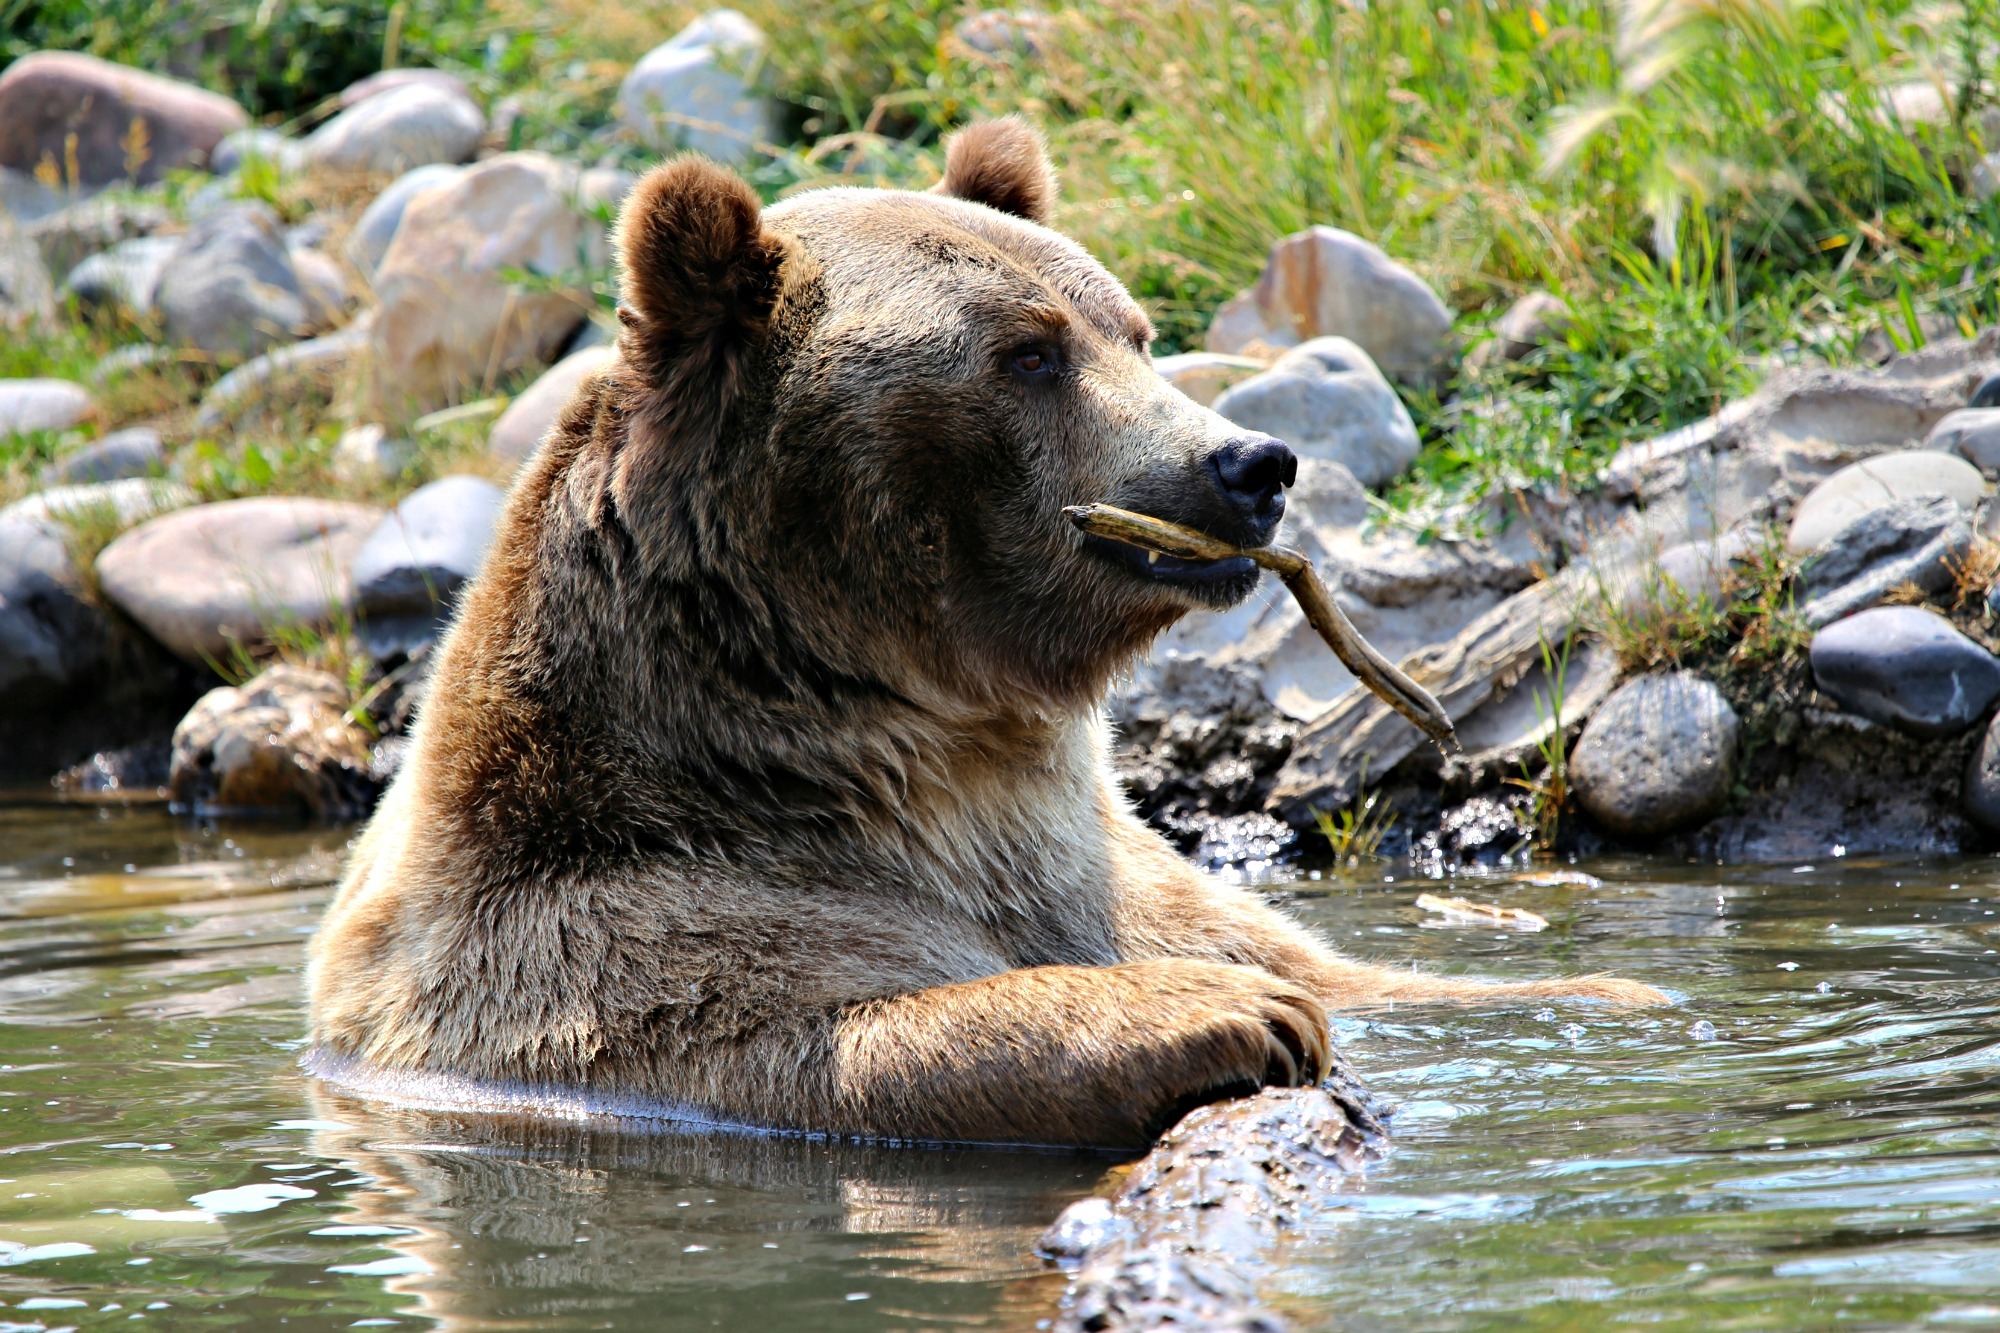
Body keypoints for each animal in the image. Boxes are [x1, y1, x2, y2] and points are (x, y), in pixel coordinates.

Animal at [307, 118, 1666, 1150]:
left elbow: (1369, 974)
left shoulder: (1115, 866)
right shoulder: (599, 944)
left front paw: (1622, 987)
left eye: (1131, 328)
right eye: (1024, 353)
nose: (1248, 463)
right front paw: (1217, 1012)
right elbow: (823, 1023)